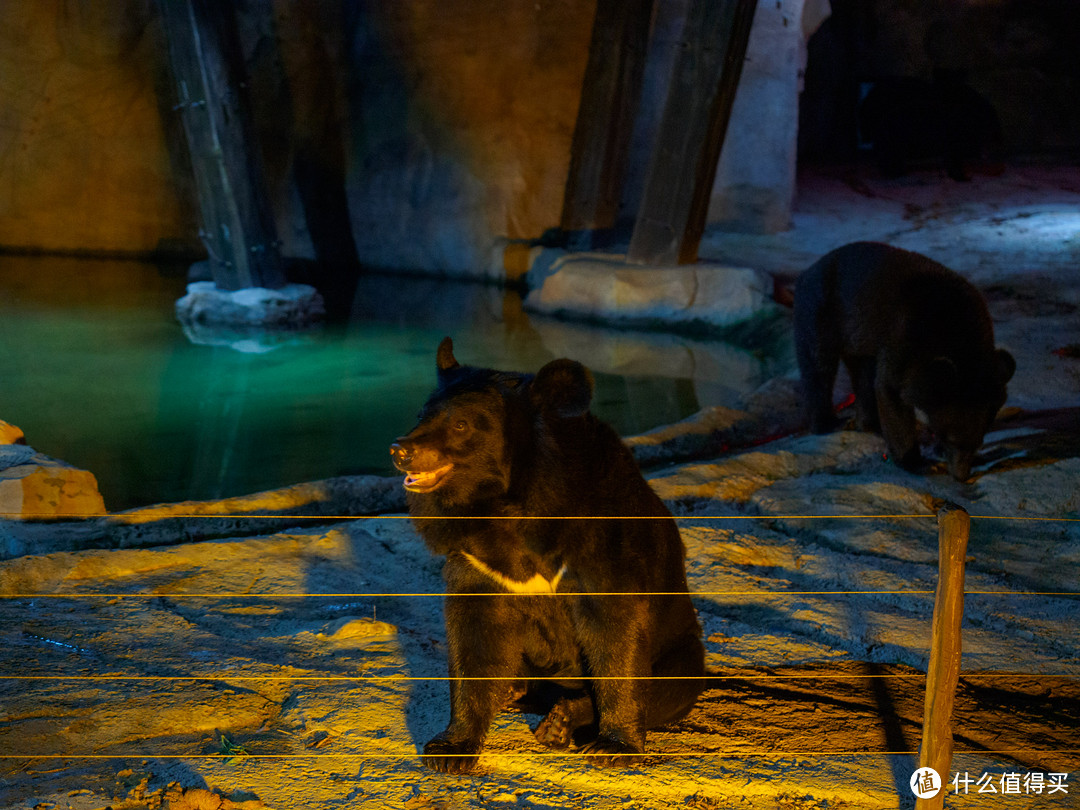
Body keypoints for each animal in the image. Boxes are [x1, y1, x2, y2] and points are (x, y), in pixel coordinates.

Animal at [393, 339, 704, 777]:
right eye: (421, 415)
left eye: (461, 425)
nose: (400, 450)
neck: (507, 505)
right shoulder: (477, 563)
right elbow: (472, 636)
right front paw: (449, 749)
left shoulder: (601, 542)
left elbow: (616, 633)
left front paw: (614, 747)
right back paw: (513, 691)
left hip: (684, 651)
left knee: (670, 685)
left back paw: (559, 721)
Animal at [794, 240, 1010, 481]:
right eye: (951, 438)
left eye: (979, 440)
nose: (961, 475)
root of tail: (807, 271)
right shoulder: (904, 338)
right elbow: (891, 390)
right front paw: (918, 463)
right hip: (818, 311)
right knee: (819, 366)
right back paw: (829, 423)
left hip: (858, 334)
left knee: (862, 373)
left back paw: (868, 424)